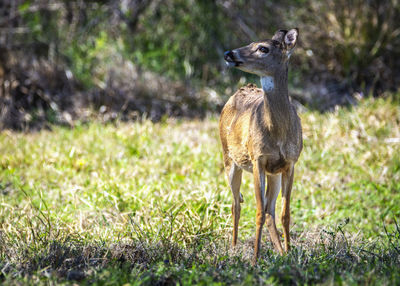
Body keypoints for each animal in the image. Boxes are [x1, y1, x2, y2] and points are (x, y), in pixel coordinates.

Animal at [219, 28, 304, 264]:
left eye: (263, 48)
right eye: (250, 42)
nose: (229, 53)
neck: (278, 134)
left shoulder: (290, 163)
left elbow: (285, 213)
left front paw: (290, 253)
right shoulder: (257, 159)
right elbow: (257, 211)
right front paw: (255, 260)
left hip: (273, 173)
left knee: (269, 210)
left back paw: (280, 252)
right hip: (229, 158)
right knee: (236, 203)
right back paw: (234, 248)